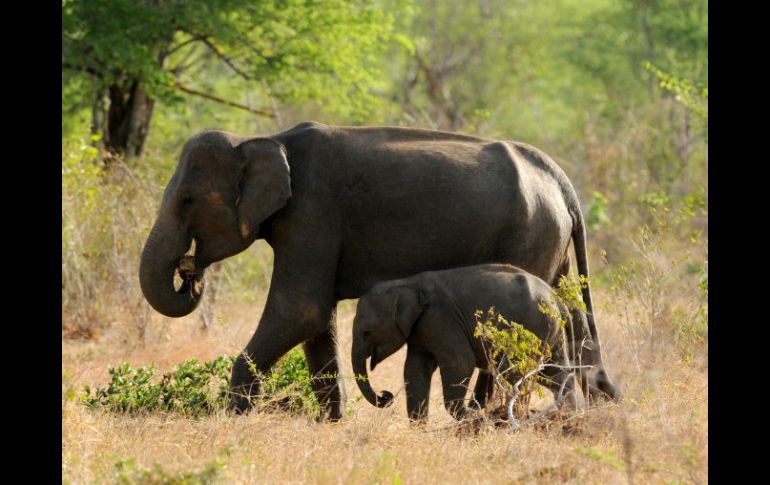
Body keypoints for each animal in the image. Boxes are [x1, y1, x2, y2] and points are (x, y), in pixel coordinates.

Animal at [352, 264, 620, 420]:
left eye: (366, 332)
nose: (385, 396)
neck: (405, 283)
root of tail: (558, 301)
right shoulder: (422, 329)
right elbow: (415, 369)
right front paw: (419, 425)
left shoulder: (442, 319)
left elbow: (460, 362)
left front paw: (471, 416)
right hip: (550, 332)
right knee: (554, 373)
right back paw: (568, 416)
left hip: (535, 327)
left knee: (516, 371)